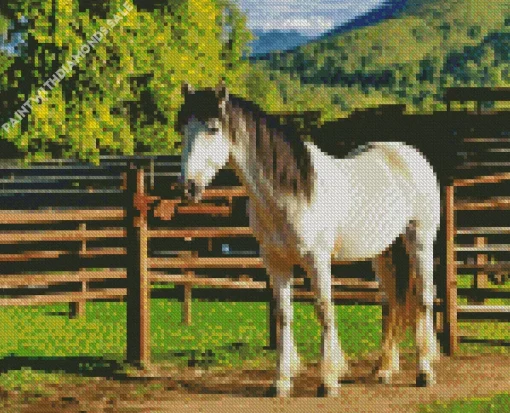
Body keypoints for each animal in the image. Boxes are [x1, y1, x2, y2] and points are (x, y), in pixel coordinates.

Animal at [177, 82, 440, 394]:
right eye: (183, 129)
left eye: (213, 128)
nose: (188, 187)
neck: (290, 193)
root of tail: (409, 156)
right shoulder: (275, 261)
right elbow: (283, 315)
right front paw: (281, 381)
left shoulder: (317, 260)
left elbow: (324, 310)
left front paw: (328, 380)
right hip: (384, 252)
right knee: (393, 303)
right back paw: (384, 369)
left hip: (420, 241)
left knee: (423, 298)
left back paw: (425, 371)